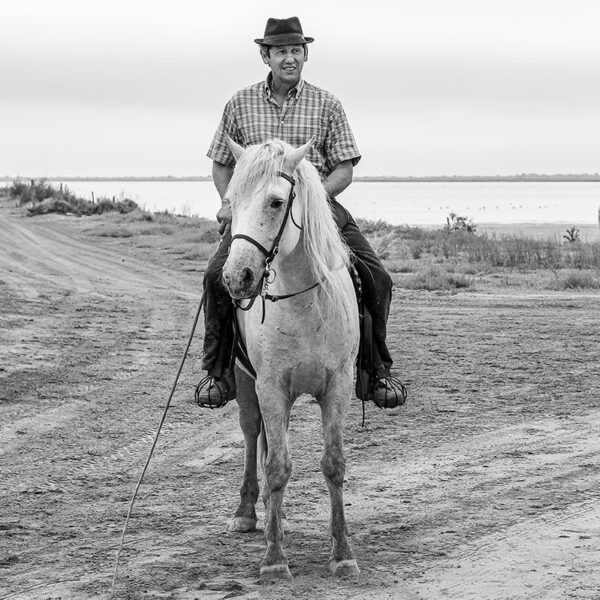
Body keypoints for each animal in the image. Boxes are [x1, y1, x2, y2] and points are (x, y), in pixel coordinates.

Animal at [221, 137, 358, 580]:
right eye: (231, 201)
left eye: (276, 202)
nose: (237, 278)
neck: (303, 303)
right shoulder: (271, 387)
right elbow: (277, 465)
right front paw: (274, 559)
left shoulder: (338, 386)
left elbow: (333, 464)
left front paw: (342, 553)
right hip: (246, 383)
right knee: (253, 438)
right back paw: (249, 512)